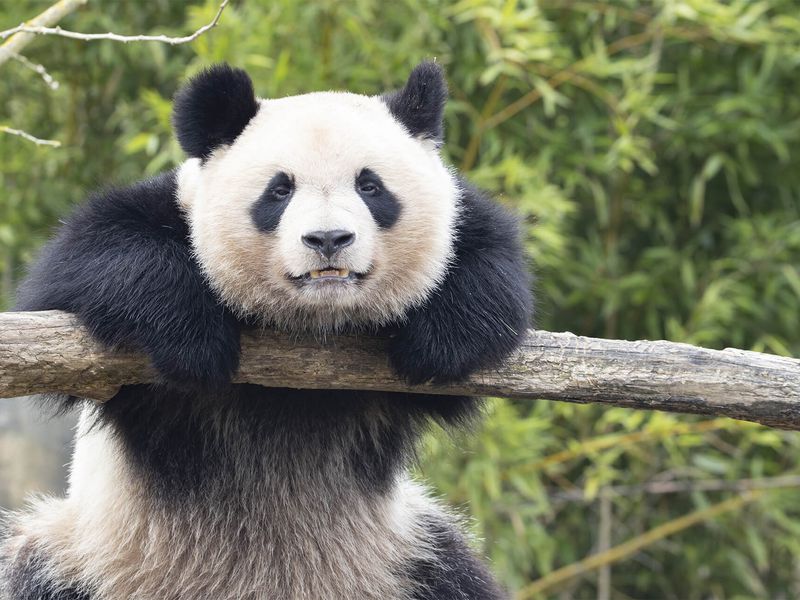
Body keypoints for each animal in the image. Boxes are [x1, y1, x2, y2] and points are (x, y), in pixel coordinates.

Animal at [0, 62, 532, 600]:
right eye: (279, 190)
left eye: (370, 186)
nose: (328, 239)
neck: (313, 321)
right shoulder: (157, 219)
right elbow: (80, 266)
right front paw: (195, 341)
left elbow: (489, 269)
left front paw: (439, 341)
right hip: (89, 556)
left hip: (405, 558)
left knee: (455, 576)